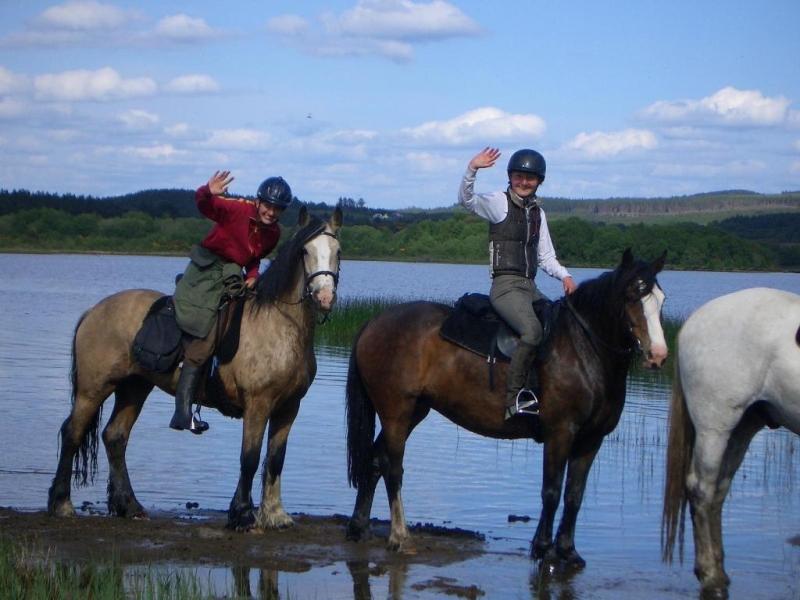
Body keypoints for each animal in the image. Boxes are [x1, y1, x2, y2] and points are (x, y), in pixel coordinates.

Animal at [47, 206, 340, 528]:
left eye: (338, 251)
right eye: (305, 251)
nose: (325, 297)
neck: (279, 323)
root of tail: (93, 311)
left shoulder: (288, 408)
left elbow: (275, 459)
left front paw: (275, 515)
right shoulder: (258, 405)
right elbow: (249, 458)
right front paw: (241, 513)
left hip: (134, 387)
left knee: (115, 437)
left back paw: (130, 506)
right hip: (94, 388)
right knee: (72, 433)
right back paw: (62, 504)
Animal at [346, 246, 664, 564]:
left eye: (661, 301)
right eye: (631, 297)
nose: (658, 355)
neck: (583, 348)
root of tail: (374, 321)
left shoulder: (591, 440)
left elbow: (574, 495)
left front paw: (568, 551)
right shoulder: (560, 432)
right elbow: (551, 492)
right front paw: (544, 549)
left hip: (413, 412)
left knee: (375, 461)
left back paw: (360, 527)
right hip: (396, 413)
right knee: (393, 469)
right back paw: (400, 537)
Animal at [664, 288, 800, 596]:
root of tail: (693, 320)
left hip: (744, 426)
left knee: (718, 490)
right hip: (715, 426)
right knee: (701, 489)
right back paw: (711, 577)